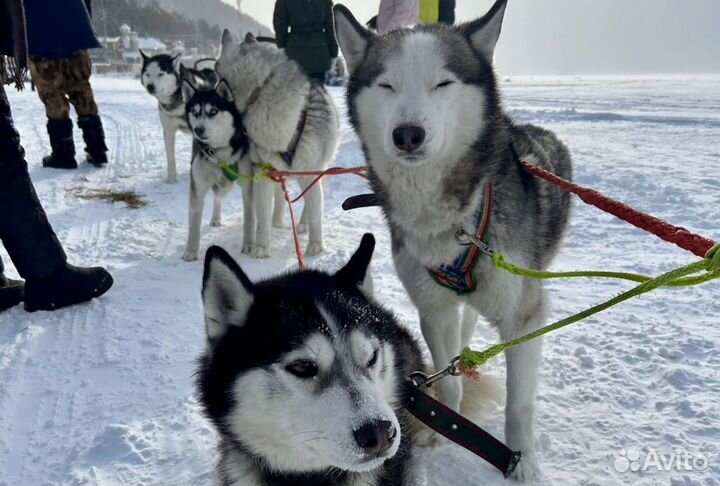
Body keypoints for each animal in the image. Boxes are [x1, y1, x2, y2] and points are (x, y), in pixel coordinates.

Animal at [140, 51, 217, 183]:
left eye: (161, 74)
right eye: (148, 74)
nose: (150, 86)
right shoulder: (168, 130)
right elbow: (170, 157)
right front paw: (171, 178)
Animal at [181, 79, 252, 262]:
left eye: (213, 111)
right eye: (194, 112)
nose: (198, 130)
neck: (220, 154)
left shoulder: (248, 186)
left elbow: (249, 218)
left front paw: (249, 245)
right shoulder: (197, 188)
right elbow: (193, 225)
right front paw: (191, 251)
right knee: (217, 198)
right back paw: (215, 218)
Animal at [215, 30, 342, 260]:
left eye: (214, 69)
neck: (260, 92)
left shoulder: (311, 172)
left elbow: (315, 210)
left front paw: (316, 245)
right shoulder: (263, 173)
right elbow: (262, 216)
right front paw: (261, 247)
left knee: (310, 202)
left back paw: (303, 225)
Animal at [334, 0, 572, 478]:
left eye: (443, 82)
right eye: (387, 84)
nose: (408, 134)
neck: (453, 218)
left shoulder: (525, 318)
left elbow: (519, 404)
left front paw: (521, 461)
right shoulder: (434, 310)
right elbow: (447, 380)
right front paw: (441, 429)